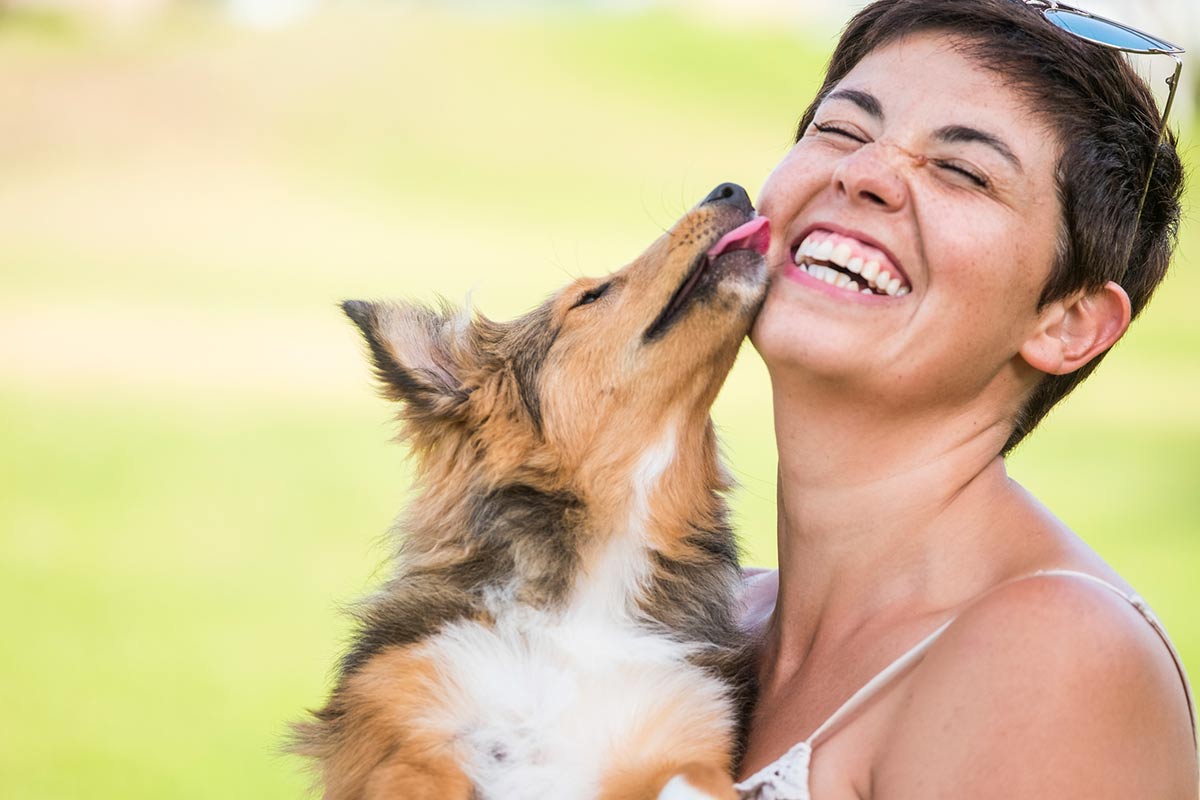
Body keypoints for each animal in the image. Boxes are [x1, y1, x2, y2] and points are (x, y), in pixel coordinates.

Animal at [295, 183, 772, 800]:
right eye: (590, 296)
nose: (731, 189)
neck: (585, 606)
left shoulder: (683, 731)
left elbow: (695, 777)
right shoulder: (406, 734)